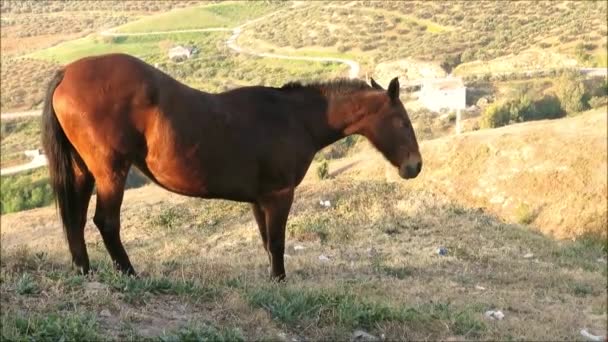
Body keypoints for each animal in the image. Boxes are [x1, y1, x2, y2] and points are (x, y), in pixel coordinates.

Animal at [40, 52, 420, 280]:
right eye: (402, 121)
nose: (414, 166)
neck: (293, 118)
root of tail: (66, 73)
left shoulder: (259, 199)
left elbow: (267, 242)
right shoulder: (280, 195)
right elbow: (277, 242)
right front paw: (280, 281)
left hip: (83, 172)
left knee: (75, 220)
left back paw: (84, 271)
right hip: (110, 172)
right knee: (106, 222)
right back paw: (130, 274)